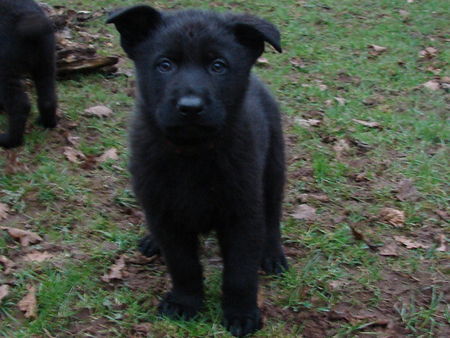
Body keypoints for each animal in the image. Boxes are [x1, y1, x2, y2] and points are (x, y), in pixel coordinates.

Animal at [0, 0, 58, 149]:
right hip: (46, 63)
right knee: (48, 99)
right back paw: (46, 123)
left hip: (5, 70)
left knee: (20, 105)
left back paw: (8, 141)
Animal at [107, 4, 286, 336]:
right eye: (164, 65)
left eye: (218, 66)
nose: (190, 107)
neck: (193, 153)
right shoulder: (165, 213)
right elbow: (183, 265)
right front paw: (185, 302)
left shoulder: (242, 213)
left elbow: (240, 272)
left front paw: (241, 313)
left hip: (273, 170)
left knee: (272, 218)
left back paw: (272, 254)